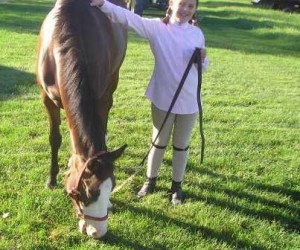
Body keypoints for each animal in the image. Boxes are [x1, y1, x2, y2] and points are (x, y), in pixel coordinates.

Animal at [37, 0, 127, 238]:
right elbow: (55, 139)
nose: (99, 233)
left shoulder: (98, 94)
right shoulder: (46, 100)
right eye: (84, 193)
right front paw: (51, 179)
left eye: (112, 186)